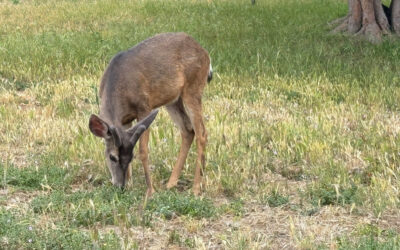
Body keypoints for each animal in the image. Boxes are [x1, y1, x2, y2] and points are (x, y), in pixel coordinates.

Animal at [88, 32, 212, 197]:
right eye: (112, 157)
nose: (120, 186)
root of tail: (204, 52)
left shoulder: (144, 106)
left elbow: (143, 150)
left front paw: (150, 190)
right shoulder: (125, 120)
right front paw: (130, 184)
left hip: (193, 88)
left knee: (201, 133)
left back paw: (196, 187)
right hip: (173, 99)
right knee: (188, 130)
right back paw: (171, 183)